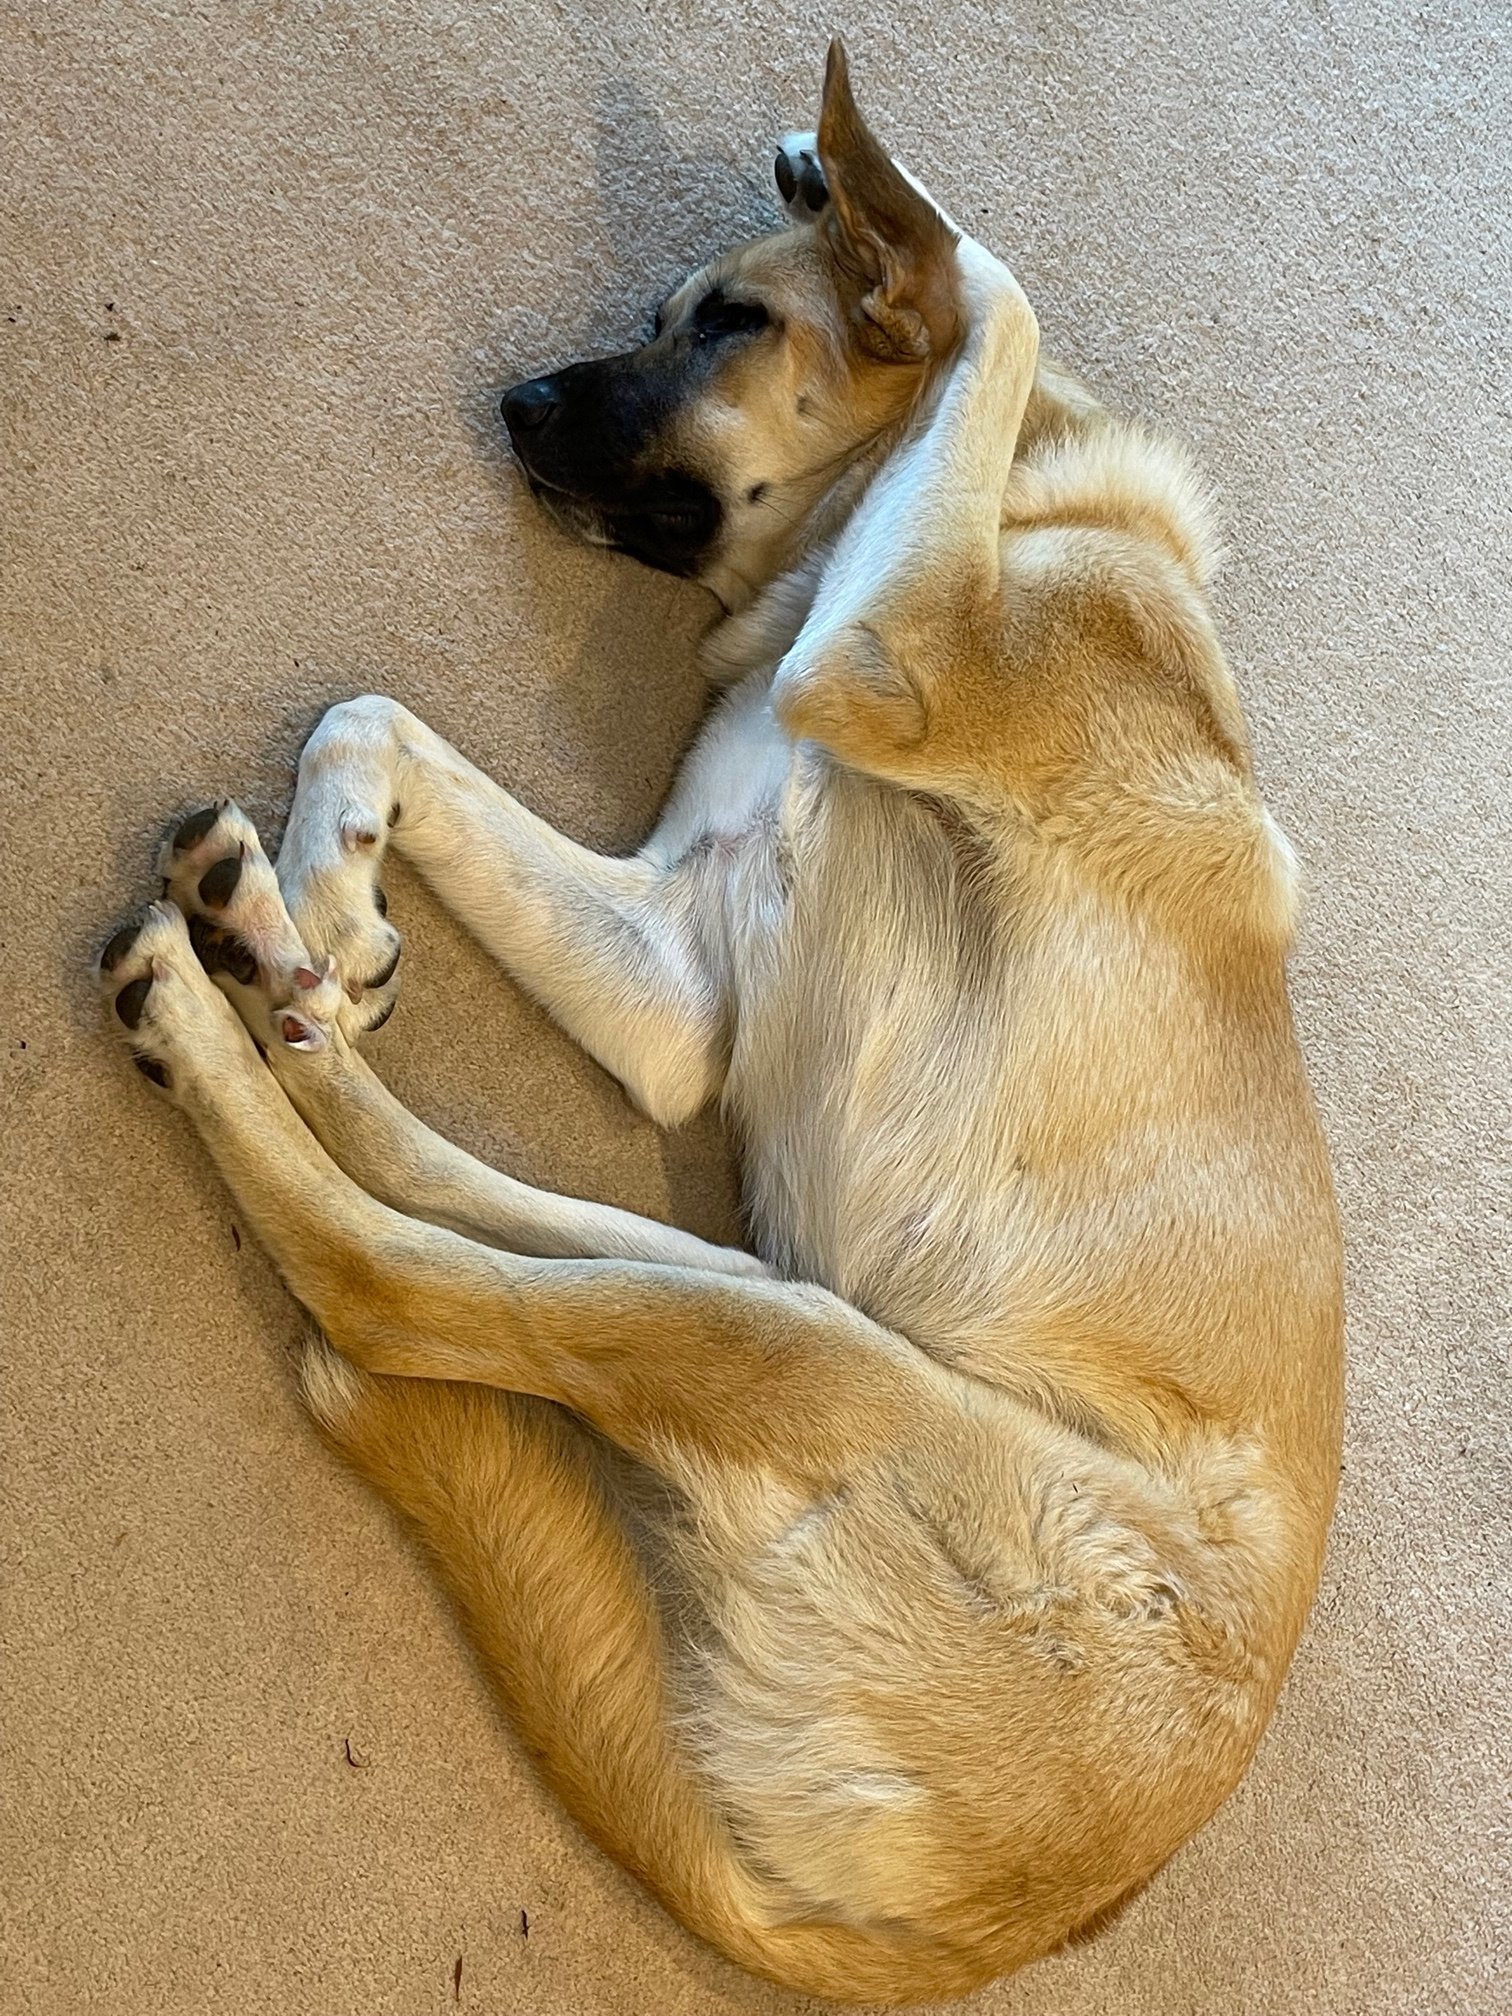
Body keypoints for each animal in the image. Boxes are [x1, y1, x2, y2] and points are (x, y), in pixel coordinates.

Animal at [100, 39, 1346, 2007]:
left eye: (733, 322)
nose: (514, 401)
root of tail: (986, 1927)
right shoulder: (683, 980)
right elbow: (369, 718)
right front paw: (331, 891)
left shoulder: (882, 668)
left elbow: (991, 286)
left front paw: (908, 223)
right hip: (778, 1294)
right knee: (450, 1202)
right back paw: (269, 965)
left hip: (814, 1359)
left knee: (396, 1288)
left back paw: (209, 1011)